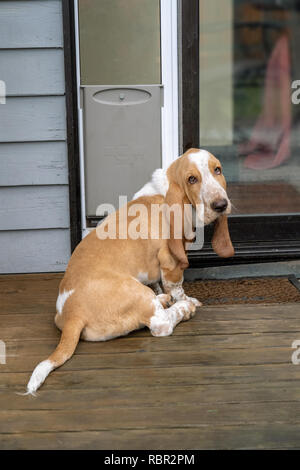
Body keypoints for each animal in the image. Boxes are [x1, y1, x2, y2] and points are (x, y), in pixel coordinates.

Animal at [25, 147, 234, 392]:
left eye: (217, 170)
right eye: (192, 179)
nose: (221, 205)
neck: (163, 189)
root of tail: (71, 315)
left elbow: (158, 282)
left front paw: (166, 295)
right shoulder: (170, 263)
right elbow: (177, 287)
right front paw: (188, 301)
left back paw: (163, 300)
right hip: (135, 291)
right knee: (161, 324)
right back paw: (183, 309)